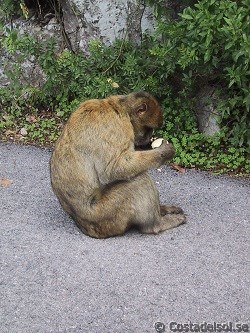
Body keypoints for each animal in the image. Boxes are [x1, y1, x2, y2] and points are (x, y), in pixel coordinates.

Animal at [49, 89, 186, 237]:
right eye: (148, 129)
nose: (149, 137)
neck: (120, 107)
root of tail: (84, 226)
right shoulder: (117, 127)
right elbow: (113, 169)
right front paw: (164, 152)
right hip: (105, 214)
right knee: (139, 180)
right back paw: (155, 225)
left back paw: (161, 210)